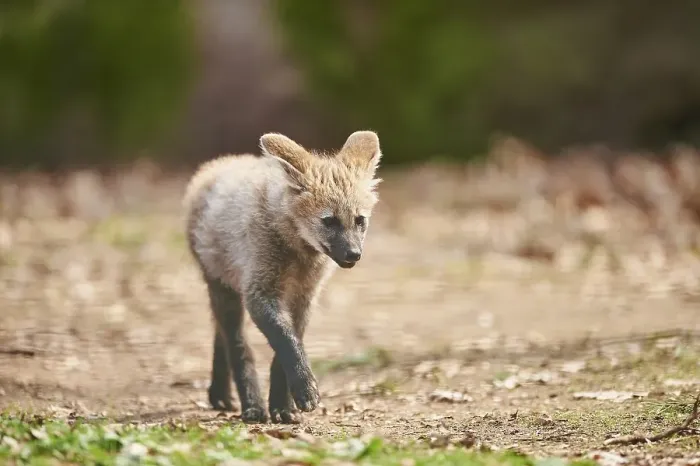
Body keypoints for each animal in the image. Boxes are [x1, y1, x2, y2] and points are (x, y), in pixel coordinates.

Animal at [183, 131, 382, 424]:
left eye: (359, 220)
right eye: (329, 221)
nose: (354, 254)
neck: (297, 255)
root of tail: (217, 164)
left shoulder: (303, 296)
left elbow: (288, 345)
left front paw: (283, 406)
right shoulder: (259, 292)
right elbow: (285, 341)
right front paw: (304, 390)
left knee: (221, 335)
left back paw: (220, 394)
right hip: (222, 287)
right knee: (236, 343)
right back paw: (251, 406)